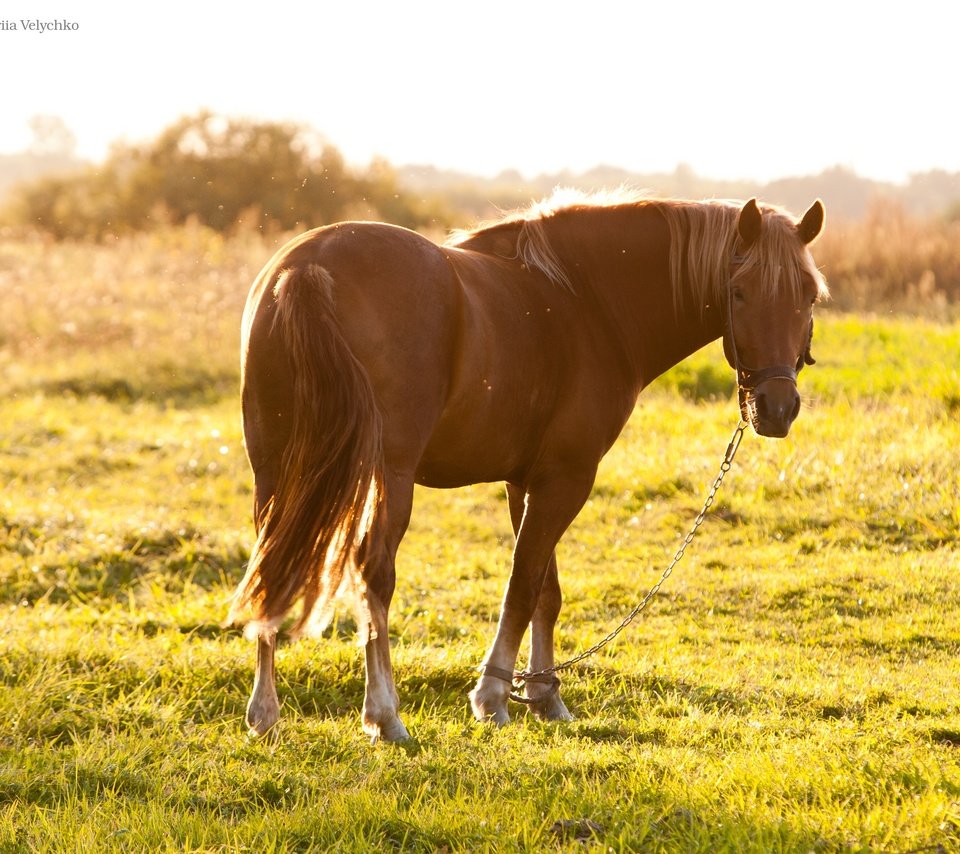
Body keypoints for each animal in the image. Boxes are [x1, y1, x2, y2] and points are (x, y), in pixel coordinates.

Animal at [231, 192, 824, 744]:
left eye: (807, 295)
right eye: (739, 292)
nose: (776, 409)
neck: (586, 303)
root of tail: (307, 270)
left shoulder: (527, 481)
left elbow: (545, 591)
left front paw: (543, 696)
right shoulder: (567, 478)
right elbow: (522, 584)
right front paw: (494, 697)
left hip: (274, 471)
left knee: (270, 565)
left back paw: (265, 712)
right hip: (387, 475)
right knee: (374, 574)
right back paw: (384, 714)